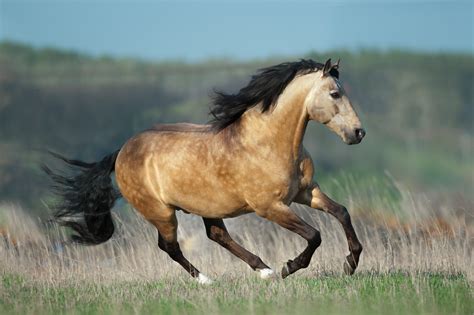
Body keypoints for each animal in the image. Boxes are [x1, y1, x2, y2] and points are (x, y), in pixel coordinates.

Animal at [44, 58, 364, 286]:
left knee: (216, 235)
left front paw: (351, 263)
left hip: (208, 206)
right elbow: (314, 235)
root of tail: (121, 151)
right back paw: (209, 279)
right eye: (335, 93)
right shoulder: (270, 207)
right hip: (161, 212)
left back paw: (264, 270)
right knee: (169, 246)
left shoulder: (306, 192)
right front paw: (290, 267)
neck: (267, 142)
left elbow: (342, 212)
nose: (358, 133)